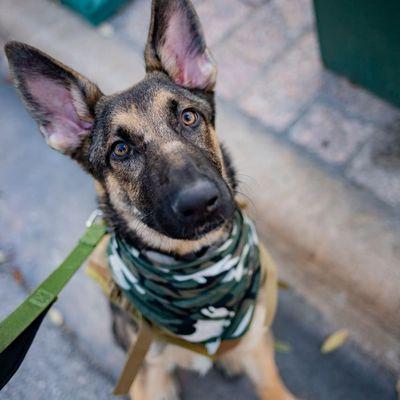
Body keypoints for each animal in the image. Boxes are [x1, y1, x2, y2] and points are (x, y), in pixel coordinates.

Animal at [4, 1, 296, 398]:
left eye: (188, 117)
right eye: (121, 149)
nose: (199, 201)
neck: (195, 273)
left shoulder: (260, 352)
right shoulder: (148, 375)